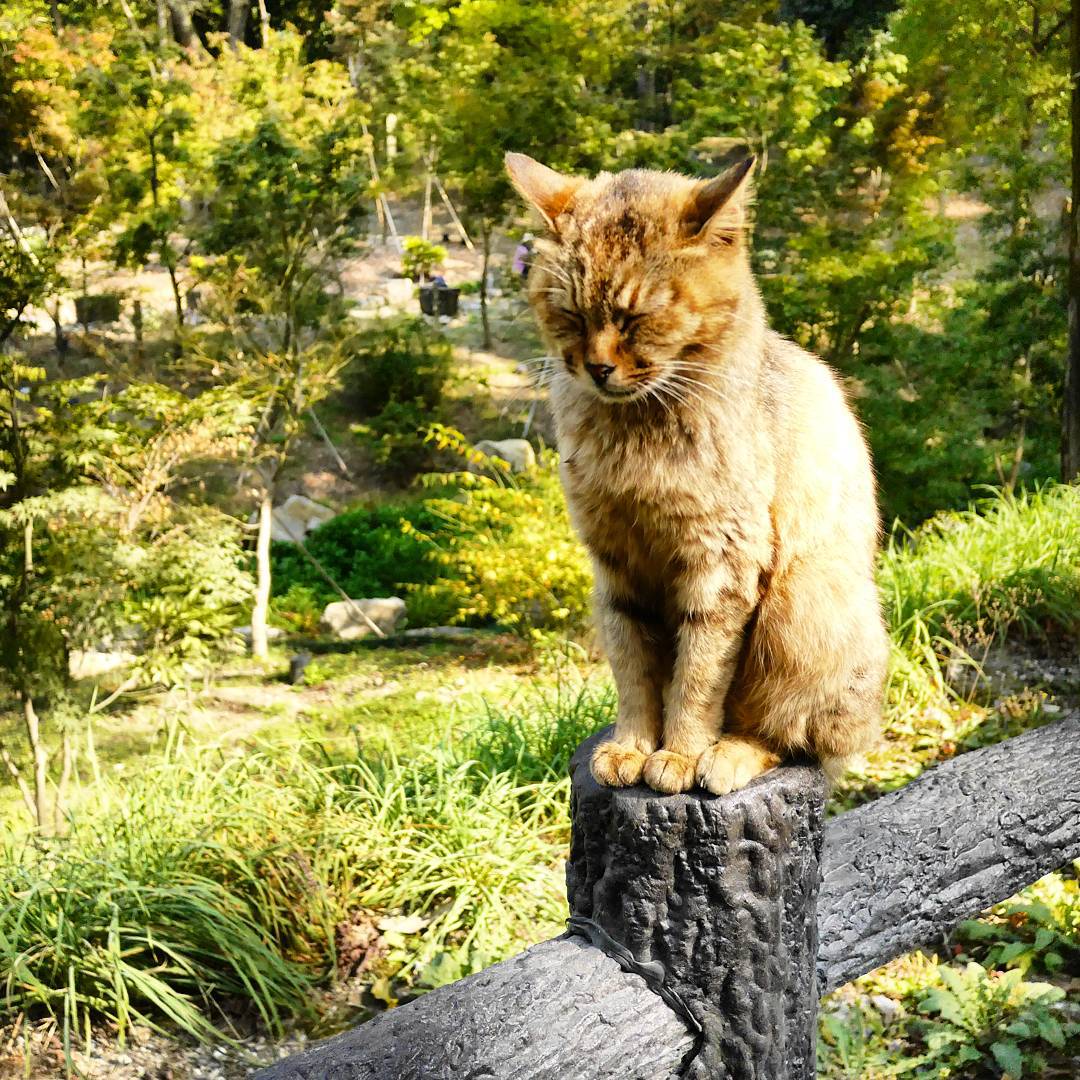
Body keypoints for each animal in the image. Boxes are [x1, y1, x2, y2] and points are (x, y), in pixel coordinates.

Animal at [503, 152, 885, 794]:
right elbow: (635, 674)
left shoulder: (722, 565)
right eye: (572, 313)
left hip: (798, 606)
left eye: (638, 316)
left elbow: (698, 678)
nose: (597, 368)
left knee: (790, 737)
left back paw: (727, 754)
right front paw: (632, 746)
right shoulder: (616, 573)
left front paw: (679, 754)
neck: (635, 436)